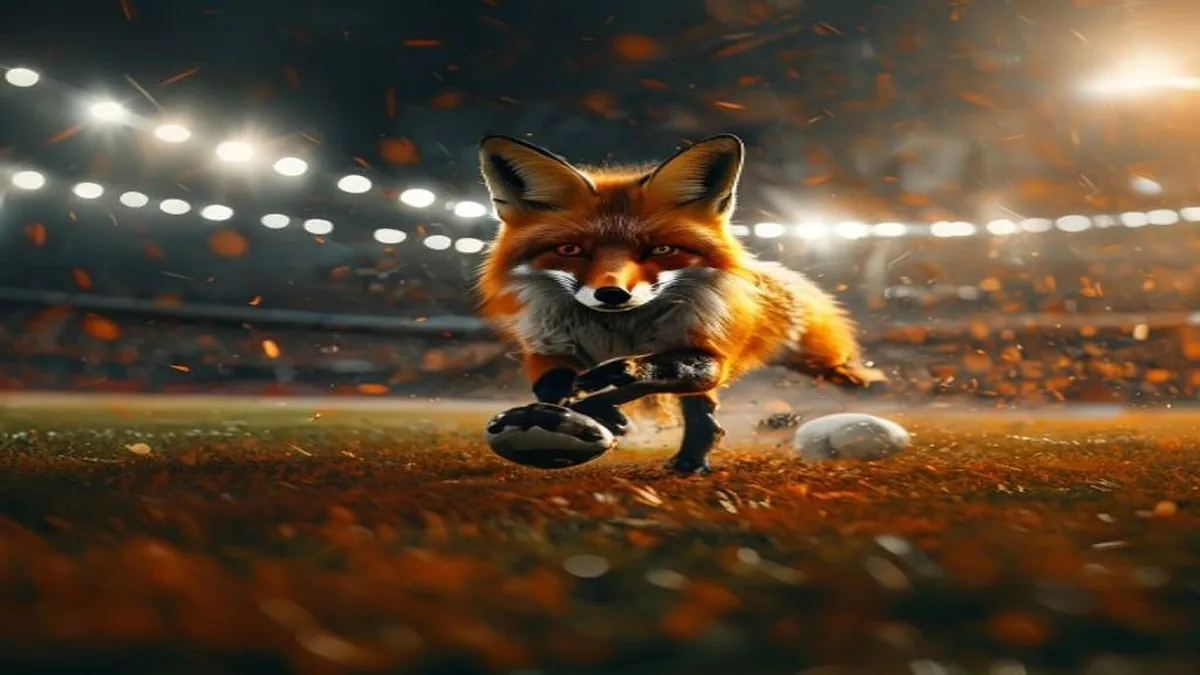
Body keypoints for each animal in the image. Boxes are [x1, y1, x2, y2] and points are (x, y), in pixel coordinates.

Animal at [475, 133, 886, 475]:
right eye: (571, 250)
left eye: (661, 250)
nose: (612, 294)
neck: (619, 331)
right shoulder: (547, 349)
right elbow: (552, 387)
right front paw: (595, 411)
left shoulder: (706, 354)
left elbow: (648, 373)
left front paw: (613, 385)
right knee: (702, 414)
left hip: (815, 359)